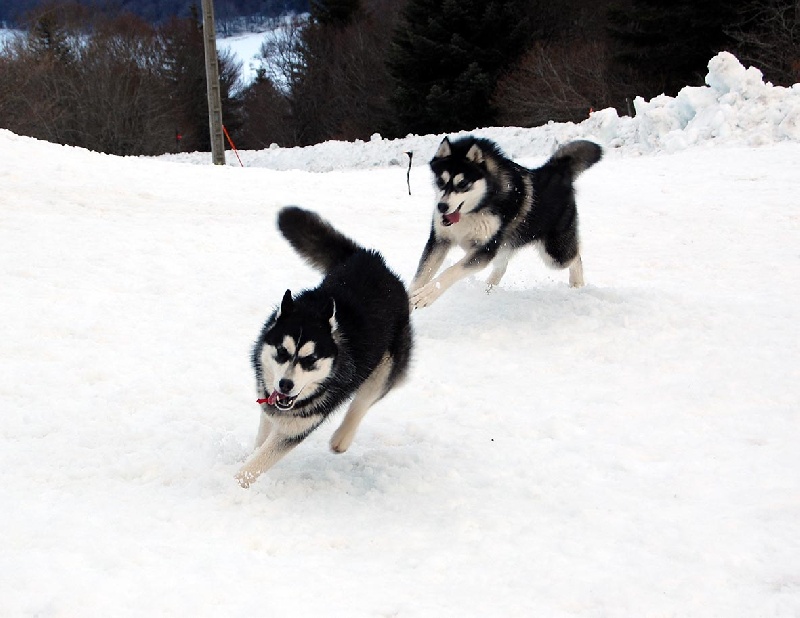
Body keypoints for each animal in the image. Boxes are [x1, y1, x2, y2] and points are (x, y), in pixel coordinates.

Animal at [236, 207, 412, 486]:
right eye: (282, 352)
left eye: (310, 359)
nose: (285, 385)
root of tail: (370, 258)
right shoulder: (269, 404)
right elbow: (260, 442)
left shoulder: (297, 426)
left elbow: (256, 464)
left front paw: (233, 484)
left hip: (387, 363)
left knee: (364, 400)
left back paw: (342, 438)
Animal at [410, 135, 604, 308]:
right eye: (440, 181)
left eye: (463, 183)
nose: (442, 206)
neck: (478, 207)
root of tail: (556, 170)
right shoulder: (440, 241)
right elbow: (420, 276)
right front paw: (409, 301)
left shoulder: (485, 249)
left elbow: (451, 271)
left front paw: (427, 295)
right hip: (507, 246)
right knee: (502, 266)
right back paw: (488, 289)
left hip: (555, 254)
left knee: (575, 256)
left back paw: (577, 284)